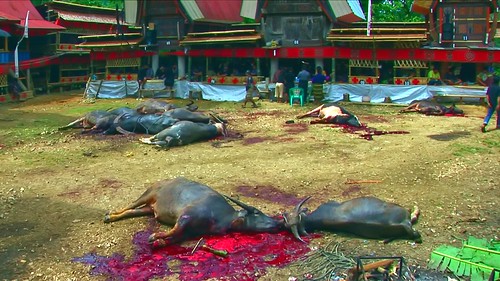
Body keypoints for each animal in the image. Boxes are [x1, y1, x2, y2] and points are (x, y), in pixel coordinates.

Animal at [103, 177, 284, 245]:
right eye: (257, 213)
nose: (279, 223)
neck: (224, 217)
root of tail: (162, 182)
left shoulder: (190, 230)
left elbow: (176, 236)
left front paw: (160, 241)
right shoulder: (185, 216)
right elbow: (175, 230)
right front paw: (154, 236)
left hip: (148, 208)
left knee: (131, 212)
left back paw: (111, 217)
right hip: (148, 194)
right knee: (129, 206)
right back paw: (109, 216)